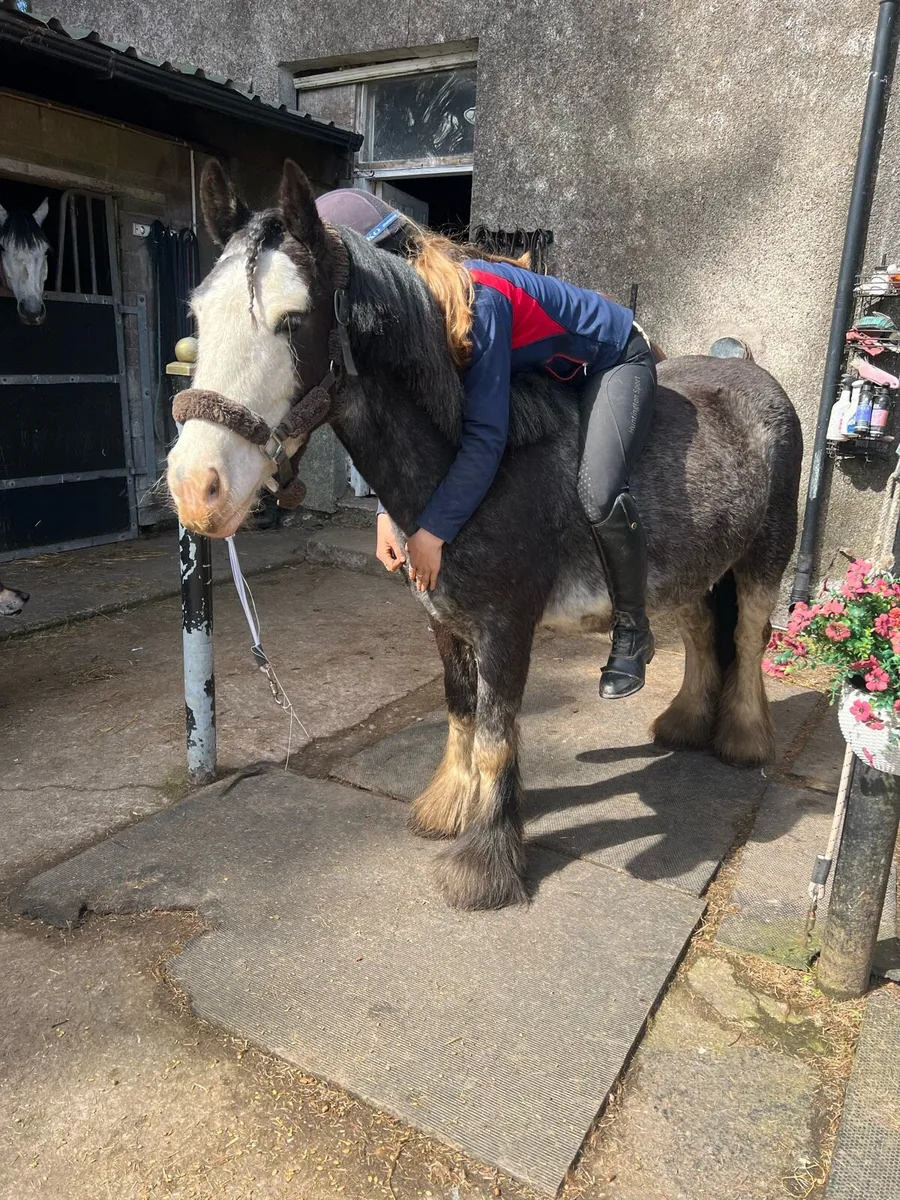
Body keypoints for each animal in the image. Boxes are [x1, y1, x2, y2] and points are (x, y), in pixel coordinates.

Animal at [167, 159, 802, 912]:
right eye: (198, 316)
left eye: (294, 320)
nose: (195, 489)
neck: (463, 473)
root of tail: (750, 369)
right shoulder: (445, 620)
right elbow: (461, 714)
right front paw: (449, 807)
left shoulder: (506, 625)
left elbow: (497, 735)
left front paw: (484, 864)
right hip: (690, 569)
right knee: (705, 633)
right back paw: (682, 726)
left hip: (765, 557)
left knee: (748, 636)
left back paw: (742, 739)